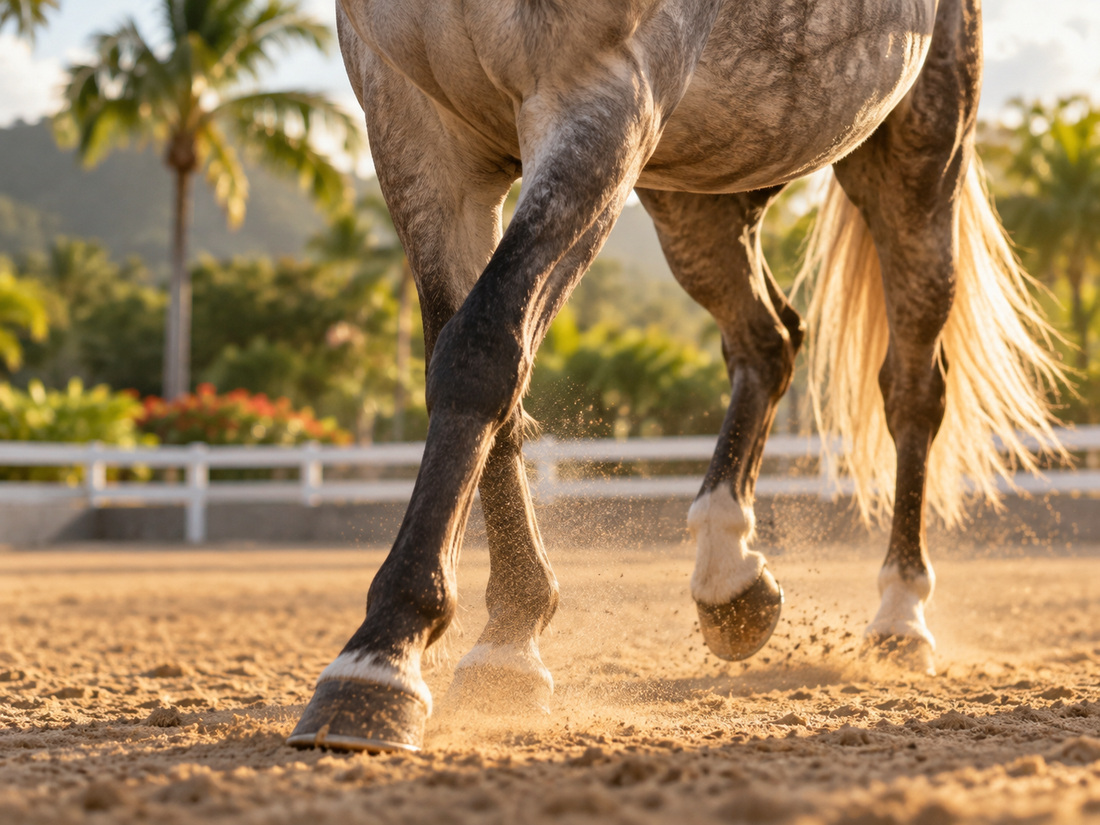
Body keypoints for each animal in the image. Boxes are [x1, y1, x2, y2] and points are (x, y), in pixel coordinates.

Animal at [287, 0, 1065, 753]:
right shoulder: (414, 125)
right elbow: (487, 379)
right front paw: (509, 642)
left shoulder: (600, 105)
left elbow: (482, 352)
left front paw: (382, 660)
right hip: (708, 178)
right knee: (769, 341)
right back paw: (731, 574)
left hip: (917, 163)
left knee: (911, 388)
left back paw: (899, 616)